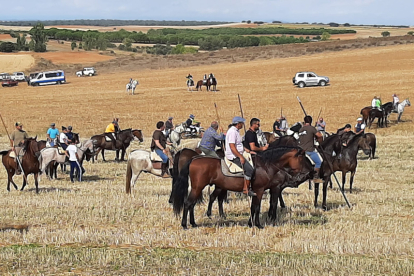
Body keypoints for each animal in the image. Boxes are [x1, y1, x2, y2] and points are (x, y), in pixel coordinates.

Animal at [171, 148, 314, 230]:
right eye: (303, 158)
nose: (311, 171)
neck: (266, 166)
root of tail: (193, 159)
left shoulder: (259, 191)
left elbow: (253, 207)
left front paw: (251, 223)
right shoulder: (260, 190)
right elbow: (257, 207)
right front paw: (258, 224)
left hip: (199, 188)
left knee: (192, 204)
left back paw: (193, 223)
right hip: (198, 187)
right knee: (188, 203)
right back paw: (185, 225)